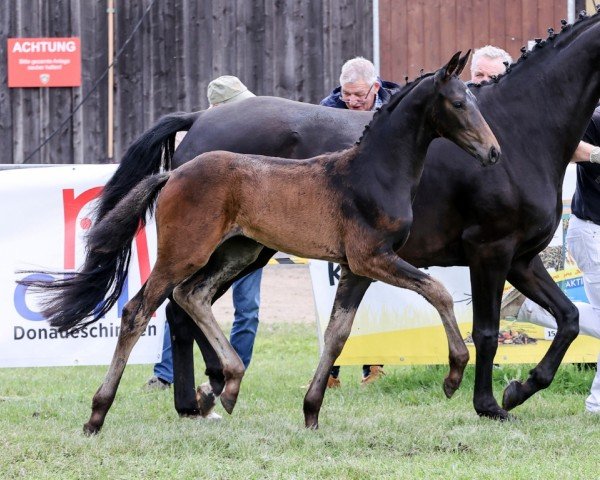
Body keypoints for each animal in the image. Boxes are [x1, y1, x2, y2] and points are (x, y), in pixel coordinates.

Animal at [25, 51, 500, 432]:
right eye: (459, 103)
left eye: (478, 102)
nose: (493, 152)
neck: (371, 173)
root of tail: (173, 174)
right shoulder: (373, 258)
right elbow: (437, 291)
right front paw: (453, 375)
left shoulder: (355, 267)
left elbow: (337, 333)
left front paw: (311, 412)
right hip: (185, 252)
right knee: (140, 309)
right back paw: (99, 413)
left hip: (239, 251)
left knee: (190, 296)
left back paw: (227, 383)